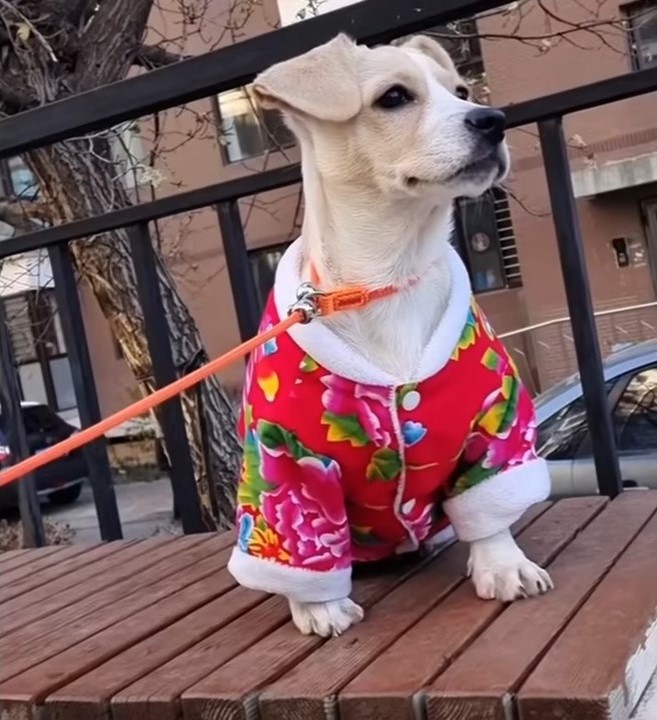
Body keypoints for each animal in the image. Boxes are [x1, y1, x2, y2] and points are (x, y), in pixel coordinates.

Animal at [227, 36, 552, 640]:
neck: (387, 279)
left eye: (461, 91)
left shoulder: (495, 422)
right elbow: (300, 544)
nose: (492, 119)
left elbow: (490, 506)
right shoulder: (283, 461)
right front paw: (319, 606)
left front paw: (503, 564)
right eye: (394, 97)